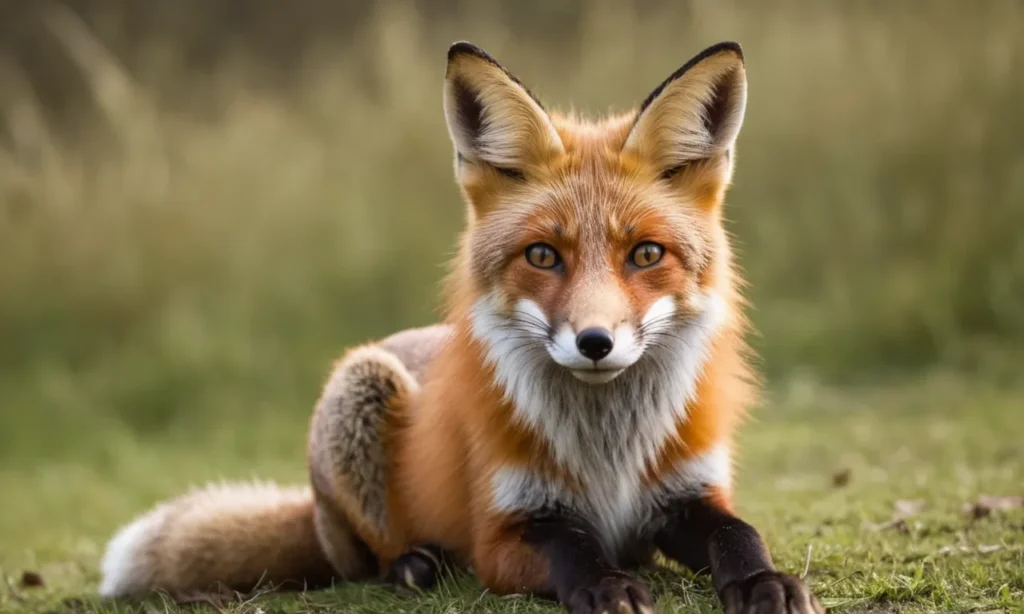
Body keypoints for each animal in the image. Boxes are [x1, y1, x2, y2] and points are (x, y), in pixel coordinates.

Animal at [97, 41, 825, 614]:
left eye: (646, 254)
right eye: (542, 256)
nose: (595, 343)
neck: (608, 453)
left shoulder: (688, 496)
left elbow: (741, 535)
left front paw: (765, 583)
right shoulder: (505, 530)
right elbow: (575, 553)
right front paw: (607, 587)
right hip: (360, 388)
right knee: (368, 561)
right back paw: (416, 565)